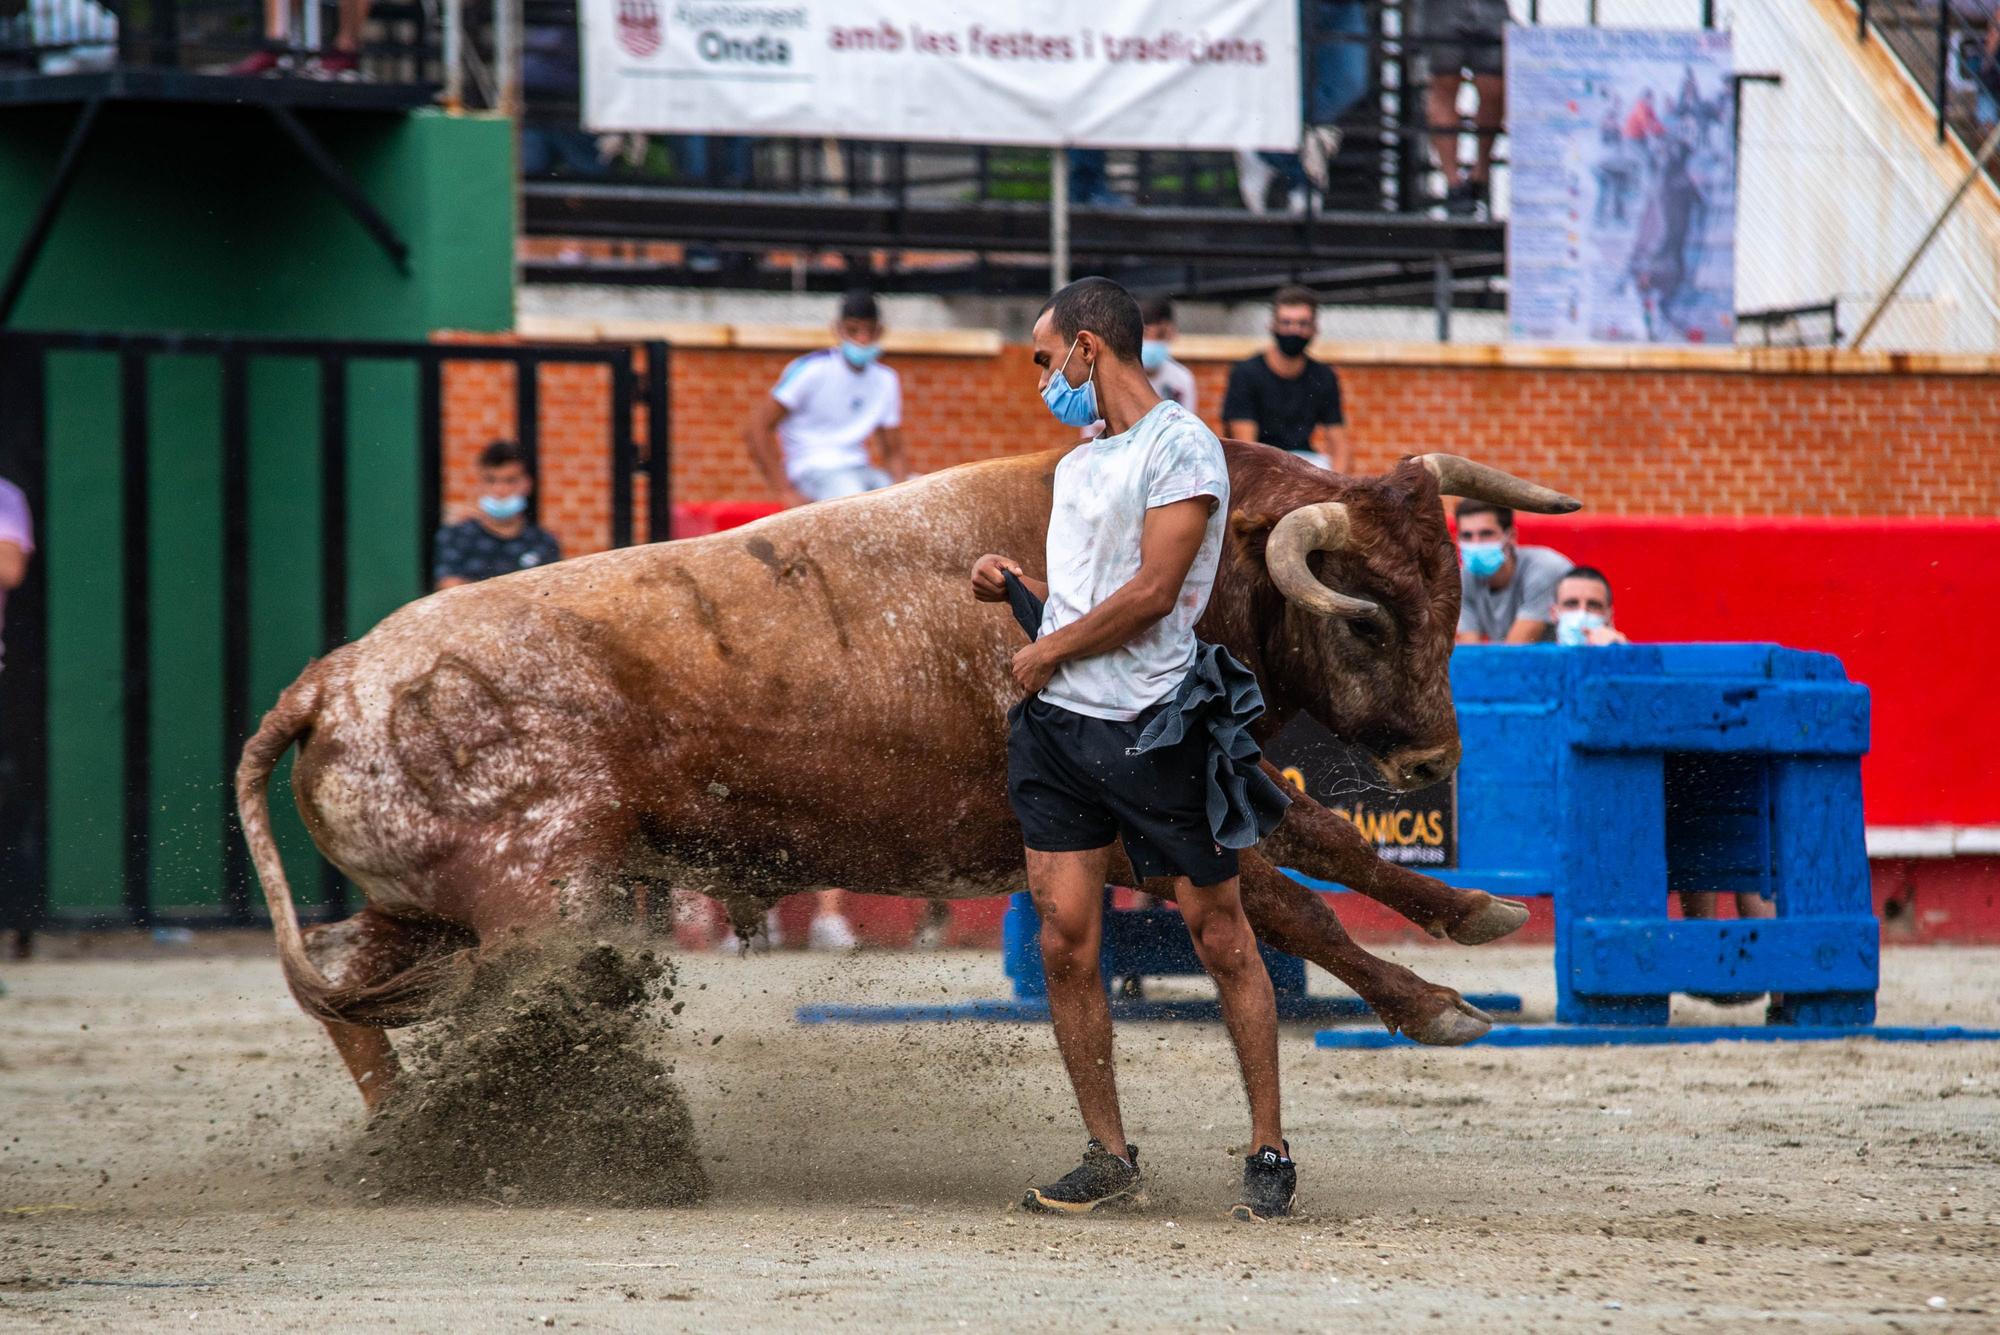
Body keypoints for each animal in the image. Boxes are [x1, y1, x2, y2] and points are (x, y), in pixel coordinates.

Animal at [234, 445, 1576, 1103]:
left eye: (1447, 593)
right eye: (1361, 620)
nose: (1430, 756)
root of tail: (328, 680)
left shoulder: (1200, 787)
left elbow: (1322, 847)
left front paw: (1471, 912)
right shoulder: (1135, 830)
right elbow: (1295, 901)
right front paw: (1434, 1004)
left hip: (417, 912)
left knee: (340, 1003)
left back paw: (407, 1136)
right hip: (534, 906)